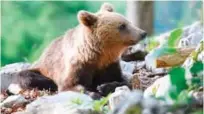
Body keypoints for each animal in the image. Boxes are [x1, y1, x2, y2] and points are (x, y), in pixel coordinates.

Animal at [10, 2, 147, 97]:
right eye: (122, 26)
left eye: (128, 22)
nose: (143, 33)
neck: (100, 54)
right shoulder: (78, 65)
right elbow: (69, 85)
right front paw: (93, 92)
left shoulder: (109, 64)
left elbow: (124, 81)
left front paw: (104, 86)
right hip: (42, 67)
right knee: (26, 76)